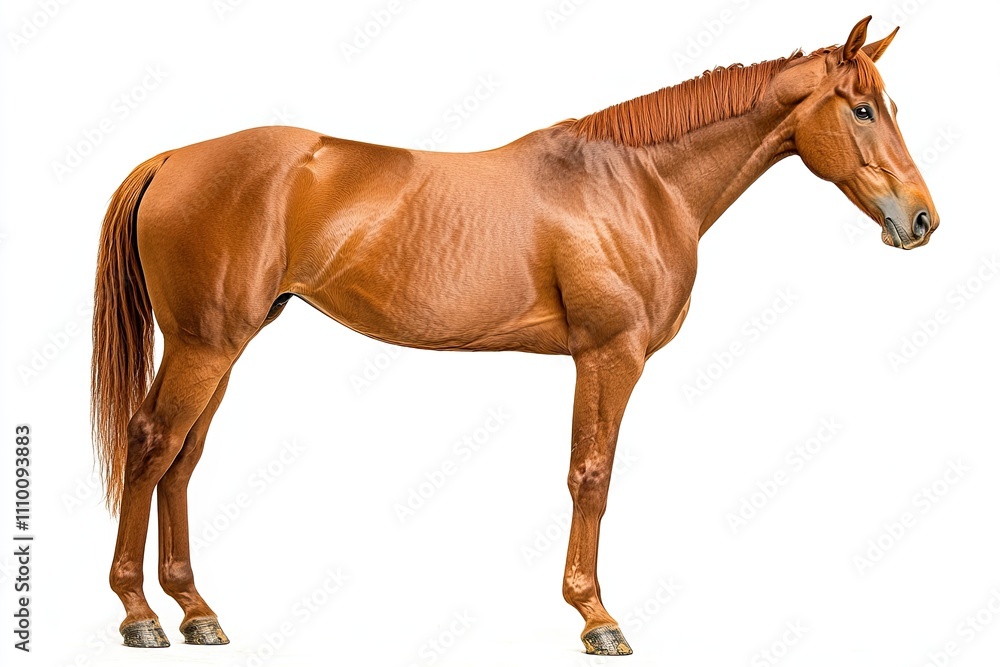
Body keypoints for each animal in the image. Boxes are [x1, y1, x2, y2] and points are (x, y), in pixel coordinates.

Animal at [91, 16, 937, 655]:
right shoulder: (607, 355)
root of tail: (173, 159)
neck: (636, 183)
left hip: (223, 344)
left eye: (888, 105)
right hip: (204, 345)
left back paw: (196, 609)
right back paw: (139, 613)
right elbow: (591, 476)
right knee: (151, 441)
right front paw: (597, 618)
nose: (922, 218)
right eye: (863, 109)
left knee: (182, 457)